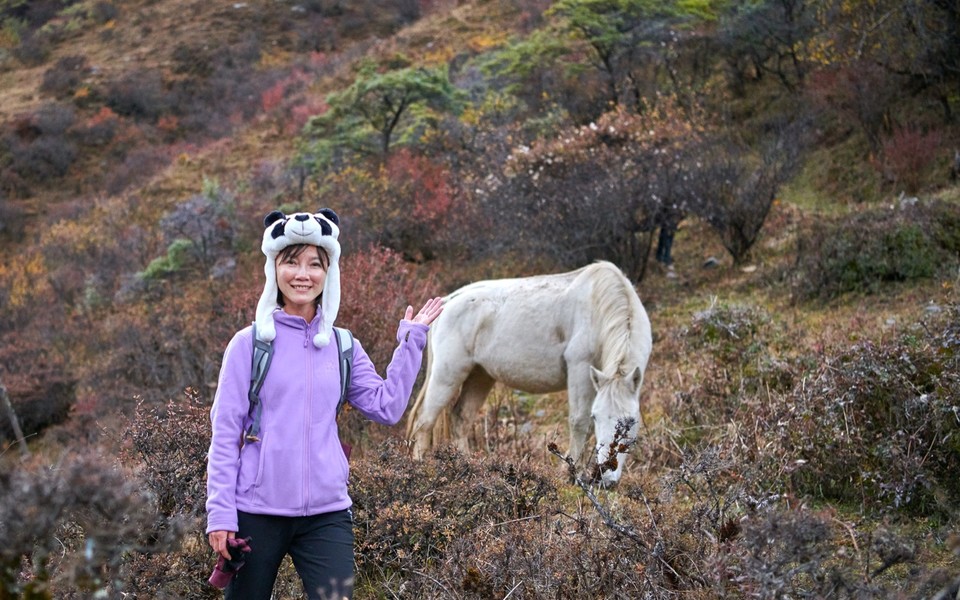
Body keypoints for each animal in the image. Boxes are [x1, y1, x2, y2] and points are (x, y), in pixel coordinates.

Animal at [406, 261, 652, 485]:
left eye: (631, 421)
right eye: (597, 417)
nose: (606, 479)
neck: (599, 306)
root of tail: (448, 301)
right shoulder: (580, 369)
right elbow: (579, 422)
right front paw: (571, 474)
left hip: (480, 376)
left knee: (461, 419)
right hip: (447, 375)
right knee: (424, 421)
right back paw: (419, 468)